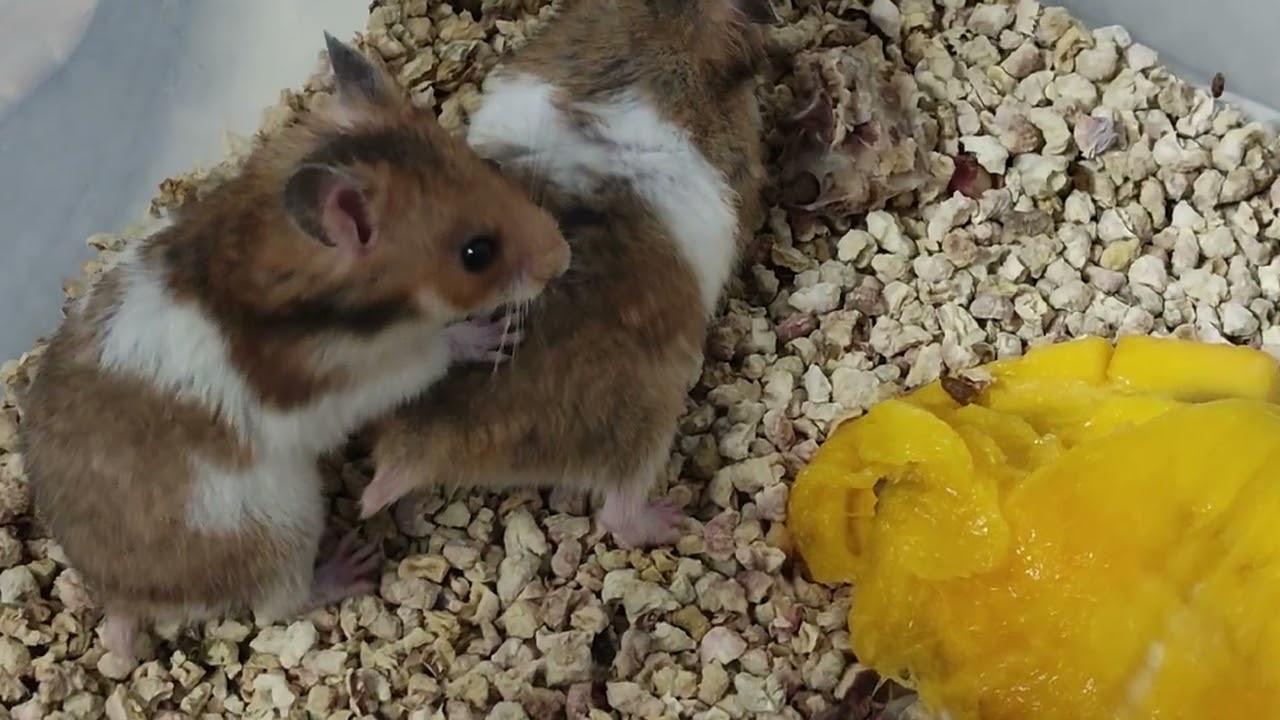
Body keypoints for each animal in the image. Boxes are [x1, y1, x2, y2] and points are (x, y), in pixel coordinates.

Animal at [17, 32, 569, 664]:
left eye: (489, 167)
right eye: (477, 253)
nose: (564, 255)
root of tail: (119, 598)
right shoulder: (356, 380)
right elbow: (434, 350)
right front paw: (493, 335)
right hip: (285, 522)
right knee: (278, 604)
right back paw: (350, 566)